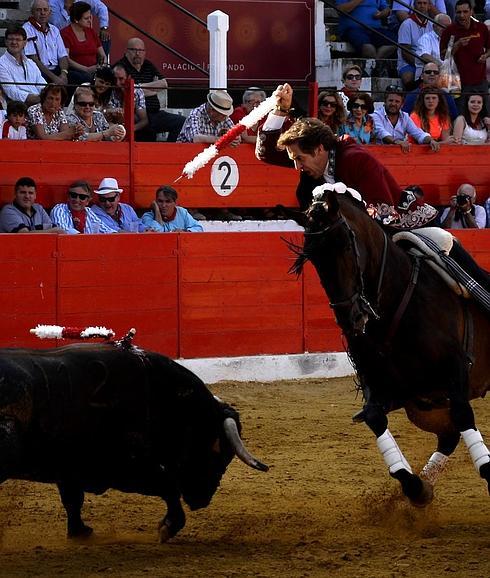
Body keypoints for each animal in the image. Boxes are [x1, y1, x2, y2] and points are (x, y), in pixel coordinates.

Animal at [0, 340, 268, 536]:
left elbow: (73, 500)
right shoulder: (121, 467)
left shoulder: (69, 468)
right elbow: (167, 485)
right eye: (217, 453)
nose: (202, 500)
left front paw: (80, 531)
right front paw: (169, 527)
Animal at [290, 186, 490, 504]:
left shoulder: (455, 371)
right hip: (424, 407)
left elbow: (463, 415)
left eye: (345, 245)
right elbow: (374, 416)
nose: (350, 318)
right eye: (312, 257)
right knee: (448, 436)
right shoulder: (392, 389)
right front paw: (415, 487)